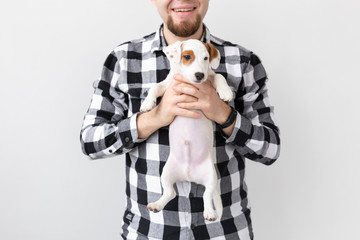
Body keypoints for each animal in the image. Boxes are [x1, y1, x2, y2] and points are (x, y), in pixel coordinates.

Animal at [139, 39, 232, 221]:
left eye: (206, 58)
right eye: (187, 57)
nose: (199, 75)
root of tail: (189, 176)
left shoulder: (210, 77)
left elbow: (219, 75)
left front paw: (225, 92)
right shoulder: (168, 84)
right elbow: (155, 86)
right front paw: (147, 104)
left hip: (211, 176)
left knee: (206, 195)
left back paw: (209, 212)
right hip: (166, 173)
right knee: (171, 193)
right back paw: (157, 205)